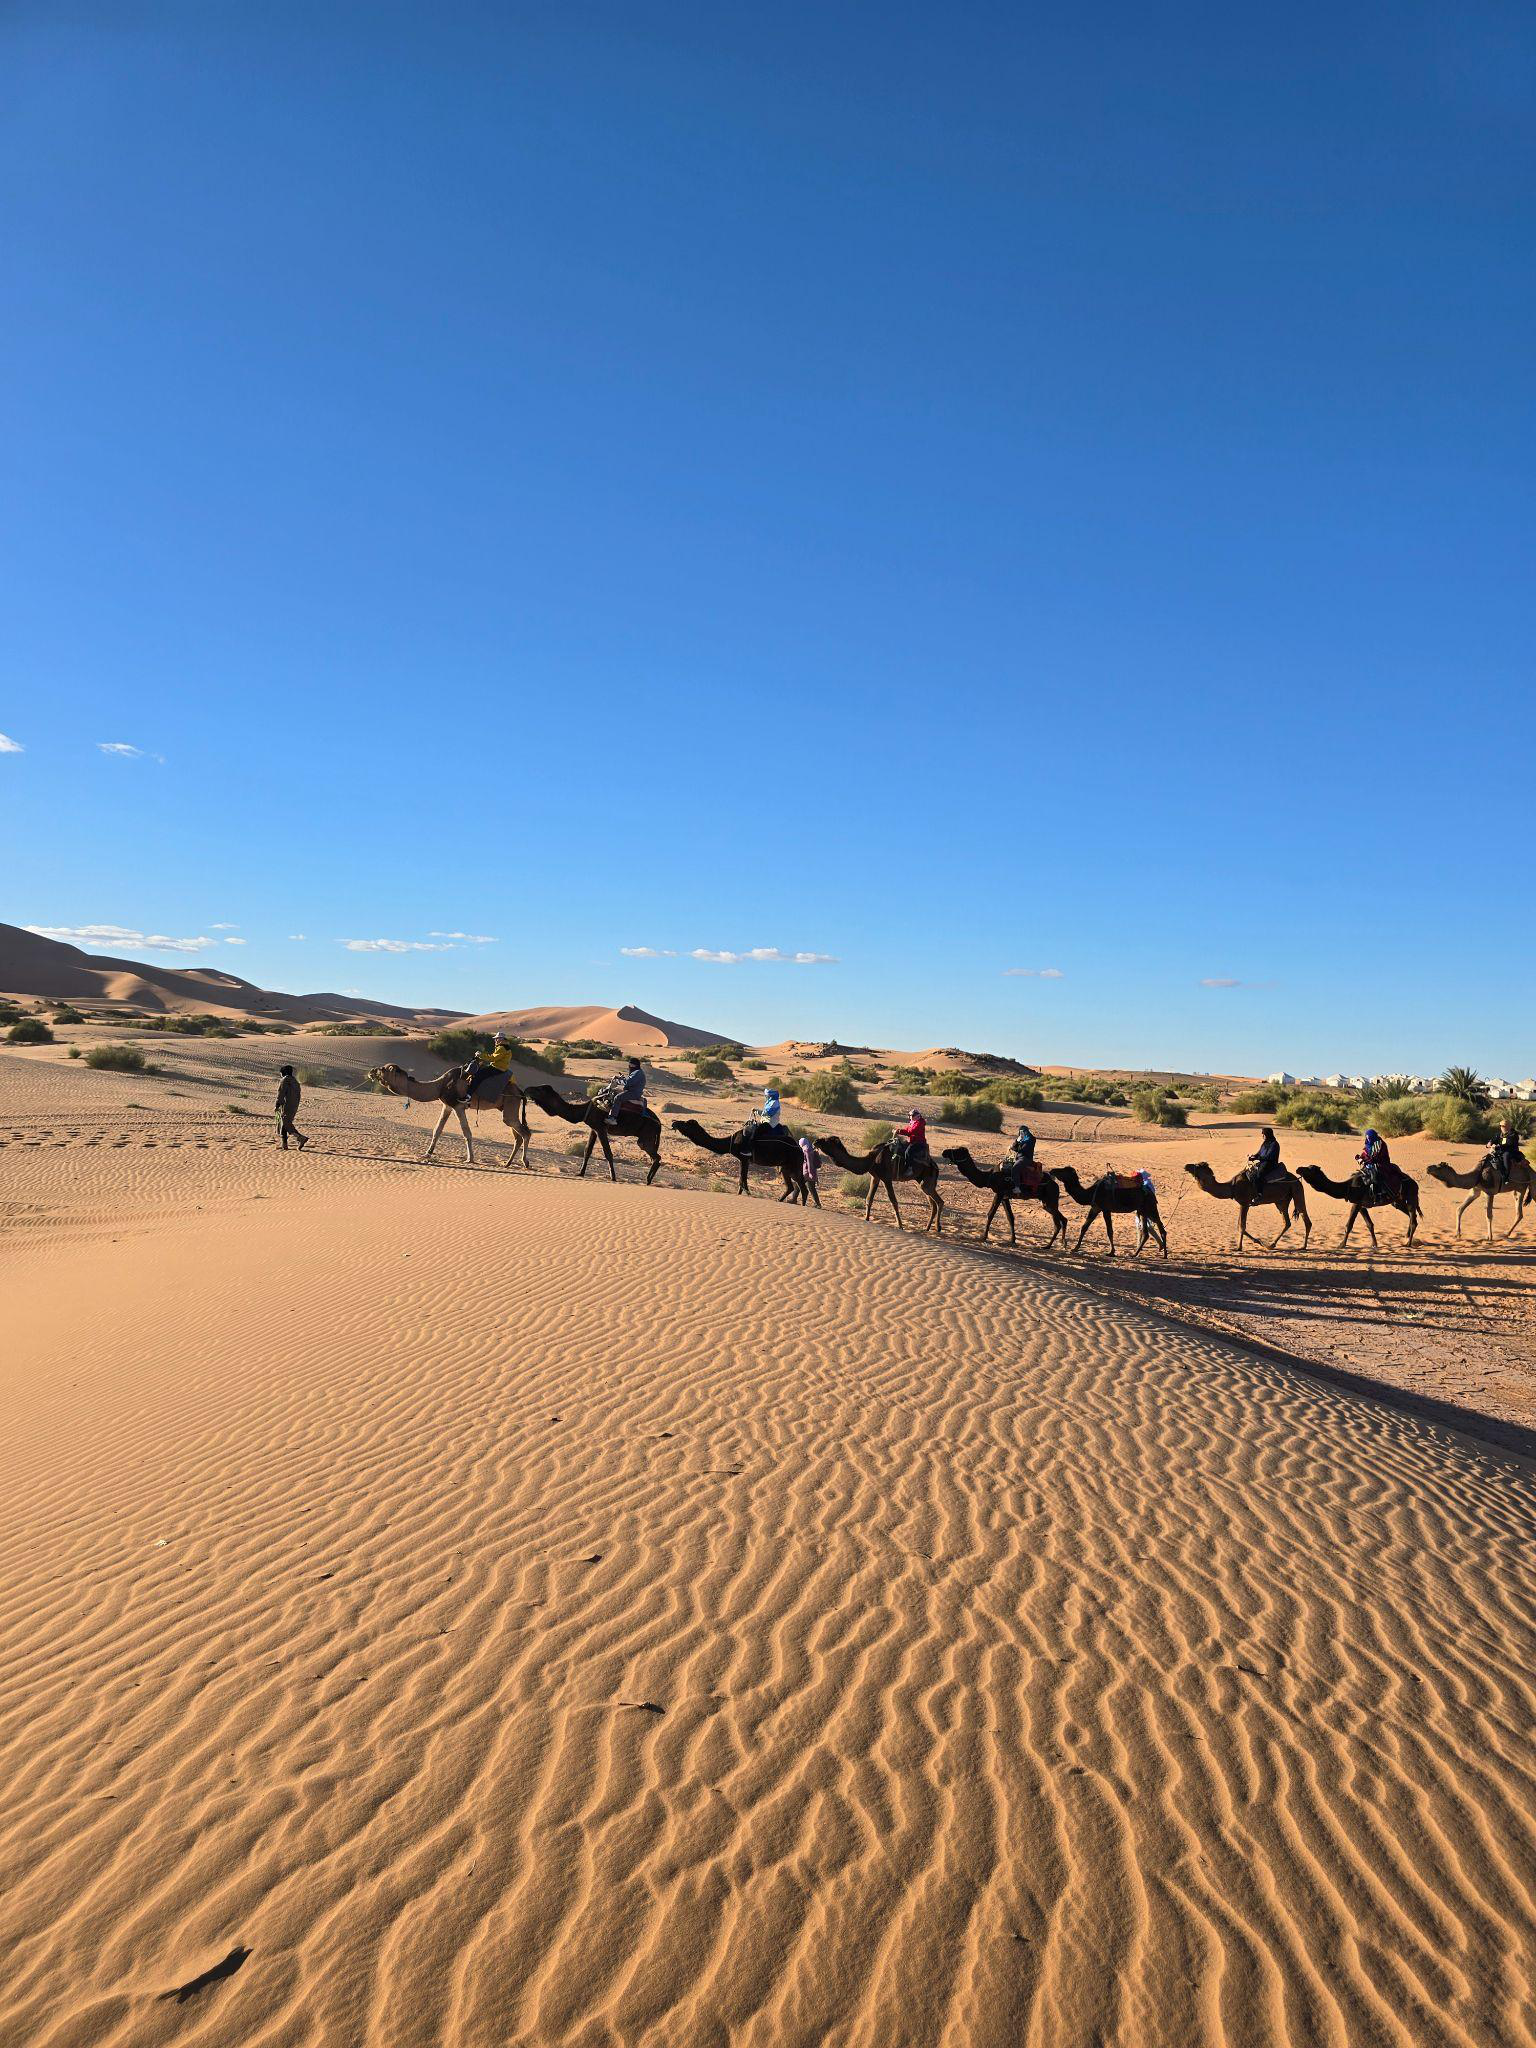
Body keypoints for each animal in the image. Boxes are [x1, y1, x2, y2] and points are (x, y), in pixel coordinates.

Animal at [369, 1063, 531, 1167]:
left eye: (383, 1069)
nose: (371, 1071)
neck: (440, 1085)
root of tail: (520, 1092)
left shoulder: (458, 1105)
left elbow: (467, 1132)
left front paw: (470, 1159)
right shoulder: (447, 1105)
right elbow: (437, 1130)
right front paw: (427, 1153)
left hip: (510, 1103)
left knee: (525, 1132)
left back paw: (525, 1162)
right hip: (507, 1107)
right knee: (517, 1135)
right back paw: (507, 1163)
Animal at [526, 1083, 663, 1185]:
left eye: (540, 1090)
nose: (527, 1089)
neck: (585, 1110)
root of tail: (659, 1123)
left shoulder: (601, 1128)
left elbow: (608, 1153)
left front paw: (613, 1177)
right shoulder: (594, 1128)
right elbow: (587, 1150)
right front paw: (580, 1173)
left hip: (647, 1134)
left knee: (655, 1156)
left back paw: (648, 1180)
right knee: (655, 1157)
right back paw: (648, 1179)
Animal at [670, 1120, 819, 1204]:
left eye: (686, 1123)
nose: (674, 1123)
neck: (730, 1141)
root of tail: (799, 1149)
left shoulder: (744, 1158)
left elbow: (743, 1180)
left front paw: (748, 1194)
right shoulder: (743, 1160)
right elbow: (742, 1180)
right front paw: (740, 1194)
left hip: (794, 1164)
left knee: (802, 1188)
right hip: (785, 1167)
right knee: (791, 1187)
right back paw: (780, 1200)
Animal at [813, 1134, 945, 1234]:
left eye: (827, 1140)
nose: (815, 1141)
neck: (872, 1159)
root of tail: (934, 1165)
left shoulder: (886, 1178)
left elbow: (893, 1201)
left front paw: (900, 1226)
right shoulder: (875, 1177)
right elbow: (869, 1198)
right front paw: (866, 1219)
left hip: (927, 1179)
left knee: (939, 1201)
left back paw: (938, 1227)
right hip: (921, 1180)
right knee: (933, 1203)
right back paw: (927, 1228)